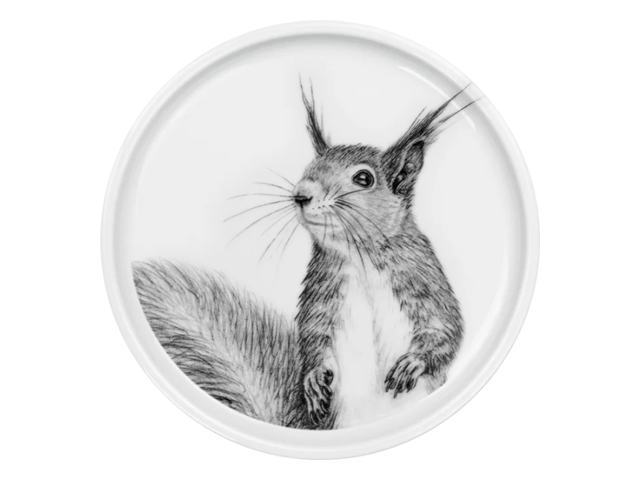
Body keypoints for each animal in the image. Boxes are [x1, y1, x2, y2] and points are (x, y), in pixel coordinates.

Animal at [133, 85, 470, 430]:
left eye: (364, 179)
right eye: (310, 167)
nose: (300, 194)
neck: (358, 256)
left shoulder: (420, 275)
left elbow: (445, 326)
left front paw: (412, 363)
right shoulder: (322, 290)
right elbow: (313, 337)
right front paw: (313, 380)